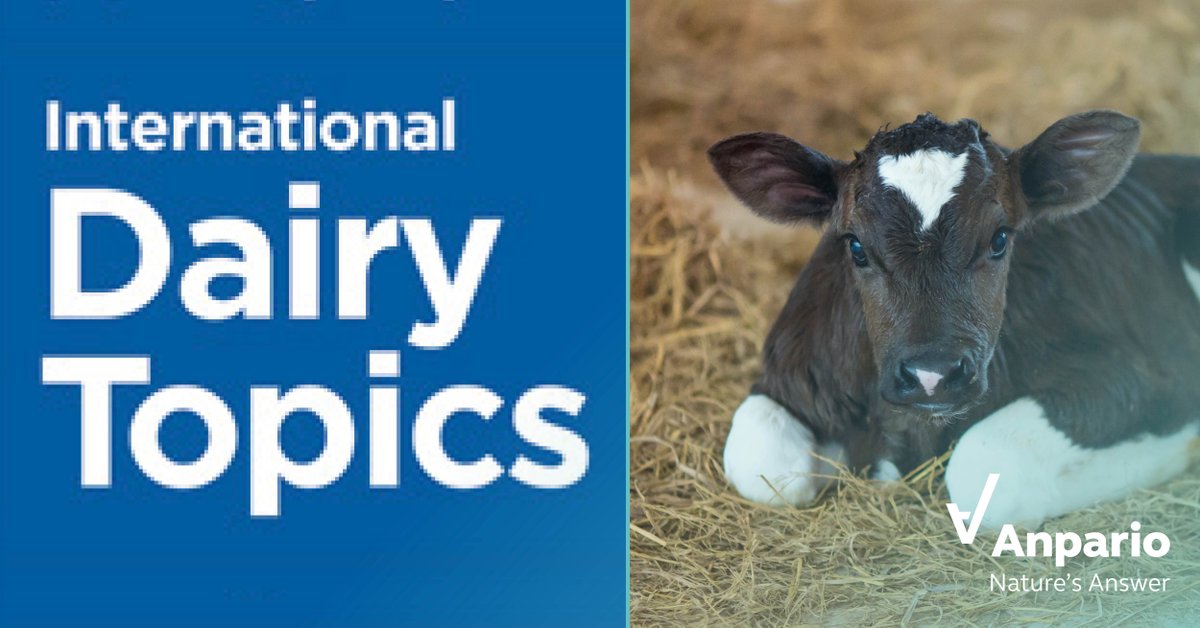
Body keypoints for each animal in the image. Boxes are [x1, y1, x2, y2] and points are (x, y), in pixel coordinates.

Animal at [708, 111, 1200, 528]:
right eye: (856, 246)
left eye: (1000, 239)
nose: (933, 375)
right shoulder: (794, 370)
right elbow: (762, 465)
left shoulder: (1137, 375)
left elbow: (983, 468)